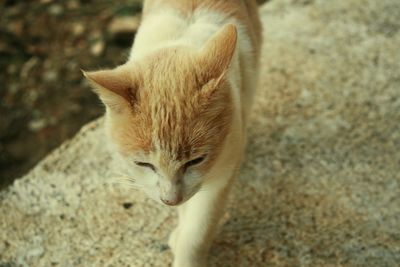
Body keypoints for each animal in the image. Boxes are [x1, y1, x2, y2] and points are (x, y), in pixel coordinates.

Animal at [83, 1, 262, 266]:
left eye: (196, 160)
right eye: (143, 164)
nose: (170, 200)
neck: (181, 38)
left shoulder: (223, 166)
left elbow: (197, 232)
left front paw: (185, 245)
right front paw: (180, 223)